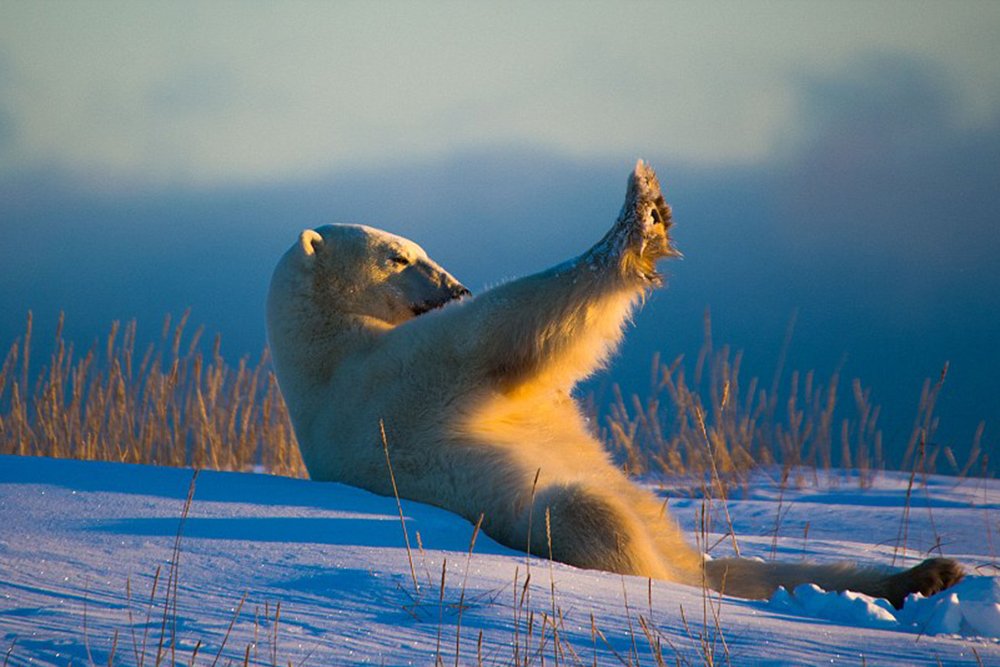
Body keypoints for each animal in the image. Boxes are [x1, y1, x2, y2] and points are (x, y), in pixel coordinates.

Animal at [265, 161, 963, 608]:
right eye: (397, 256)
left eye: (416, 247)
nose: (454, 287)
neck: (322, 354)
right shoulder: (384, 383)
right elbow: (499, 329)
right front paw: (642, 215)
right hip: (552, 515)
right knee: (594, 516)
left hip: (677, 534)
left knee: (755, 565)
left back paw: (926, 573)